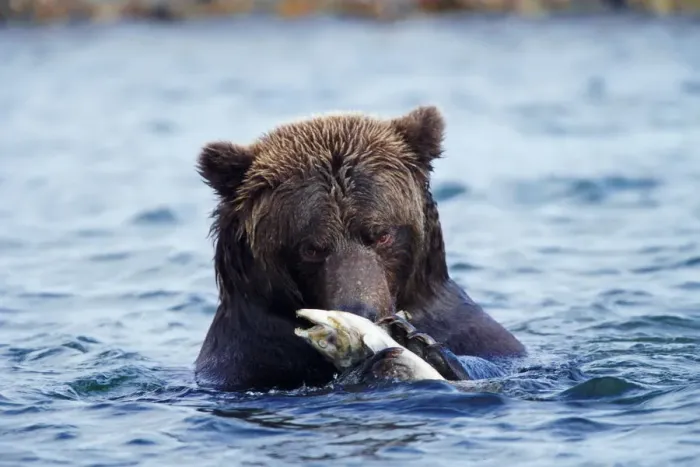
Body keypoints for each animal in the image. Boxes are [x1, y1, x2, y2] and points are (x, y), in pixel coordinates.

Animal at [194, 105, 526, 392]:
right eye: (311, 248)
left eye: (382, 235)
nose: (361, 309)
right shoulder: (248, 362)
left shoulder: (477, 336)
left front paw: (417, 341)